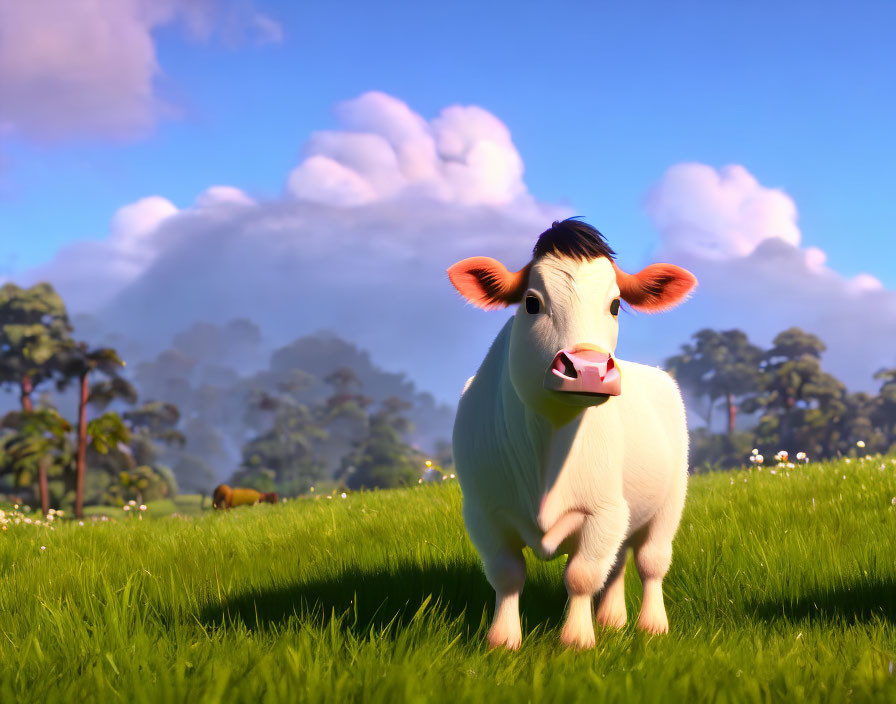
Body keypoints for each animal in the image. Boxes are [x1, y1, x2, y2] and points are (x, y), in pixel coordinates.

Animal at [452, 219, 696, 648]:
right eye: (532, 302)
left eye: (615, 305)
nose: (589, 369)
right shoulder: (484, 512)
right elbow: (505, 574)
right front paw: (502, 641)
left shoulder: (604, 511)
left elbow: (581, 575)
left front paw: (577, 640)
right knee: (618, 563)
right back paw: (613, 620)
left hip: (668, 503)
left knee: (650, 562)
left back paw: (652, 626)